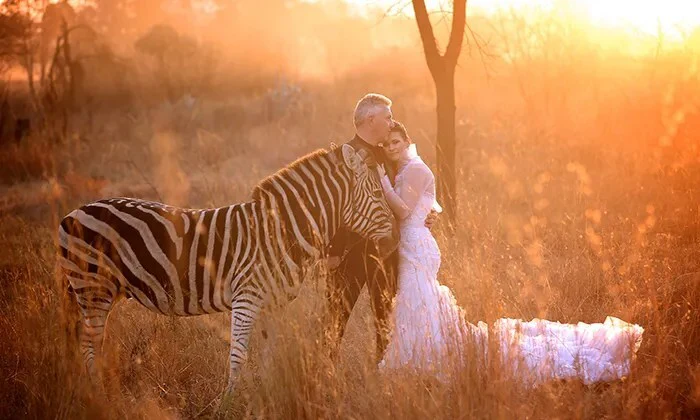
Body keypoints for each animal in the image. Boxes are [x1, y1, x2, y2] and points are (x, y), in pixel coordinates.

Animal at [57, 144, 398, 393]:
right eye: (377, 194)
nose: (395, 239)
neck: (281, 231)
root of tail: (72, 213)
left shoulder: (273, 304)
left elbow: (268, 355)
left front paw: (265, 394)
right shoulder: (246, 298)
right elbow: (238, 355)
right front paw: (229, 401)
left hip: (98, 291)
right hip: (92, 287)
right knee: (89, 343)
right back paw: (98, 394)